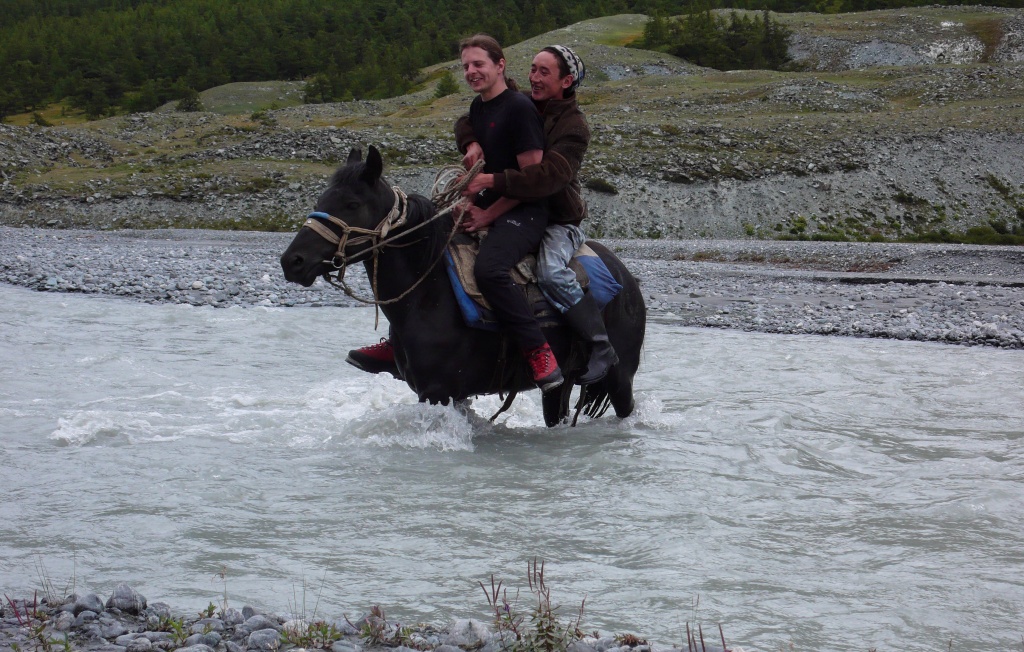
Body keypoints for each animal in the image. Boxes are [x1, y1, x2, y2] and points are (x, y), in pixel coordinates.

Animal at [278, 145, 647, 423]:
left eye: (352, 204)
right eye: (321, 200)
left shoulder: (438, 392)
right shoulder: (447, 394)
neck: (428, 294)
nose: (292, 261)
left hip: (620, 379)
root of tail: (626, 279)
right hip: (562, 386)